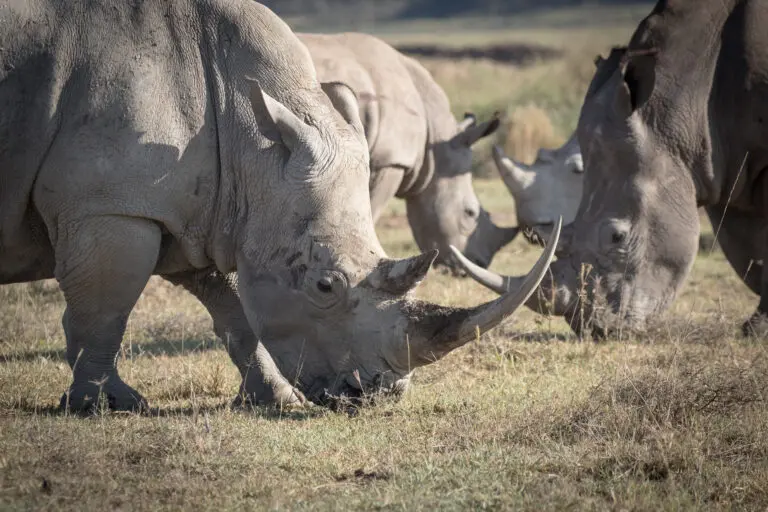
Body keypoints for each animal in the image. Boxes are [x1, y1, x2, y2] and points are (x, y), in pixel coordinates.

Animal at [454, 0, 768, 337]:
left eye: (618, 237)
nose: (591, 327)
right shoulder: (721, 165)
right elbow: (748, 247)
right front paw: (756, 328)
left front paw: (756, 330)